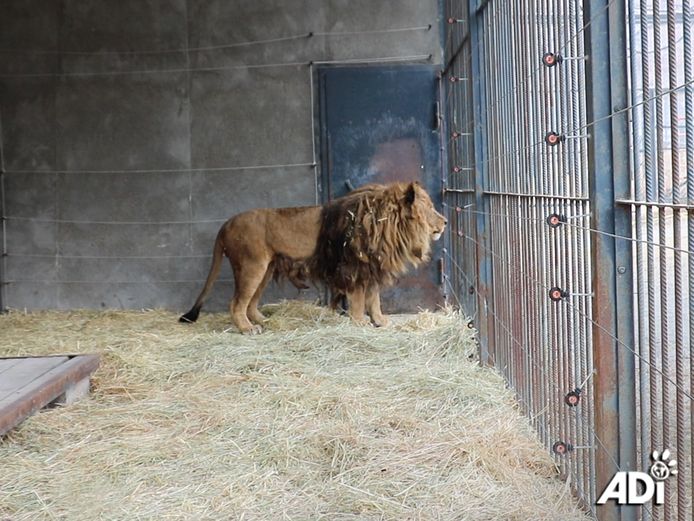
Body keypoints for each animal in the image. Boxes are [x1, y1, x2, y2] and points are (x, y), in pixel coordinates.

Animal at [179, 181, 448, 334]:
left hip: (265, 269)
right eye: (430, 207)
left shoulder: (371, 269)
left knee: (251, 302)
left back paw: (263, 321)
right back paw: (248, 329)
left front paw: (380, 321)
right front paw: (360, 322)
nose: (445, 222)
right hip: (251, 267)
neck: (387, 223)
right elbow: (359, 300)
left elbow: (374, 300)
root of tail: (225, 224)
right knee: (236, 303)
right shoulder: (353, 268)